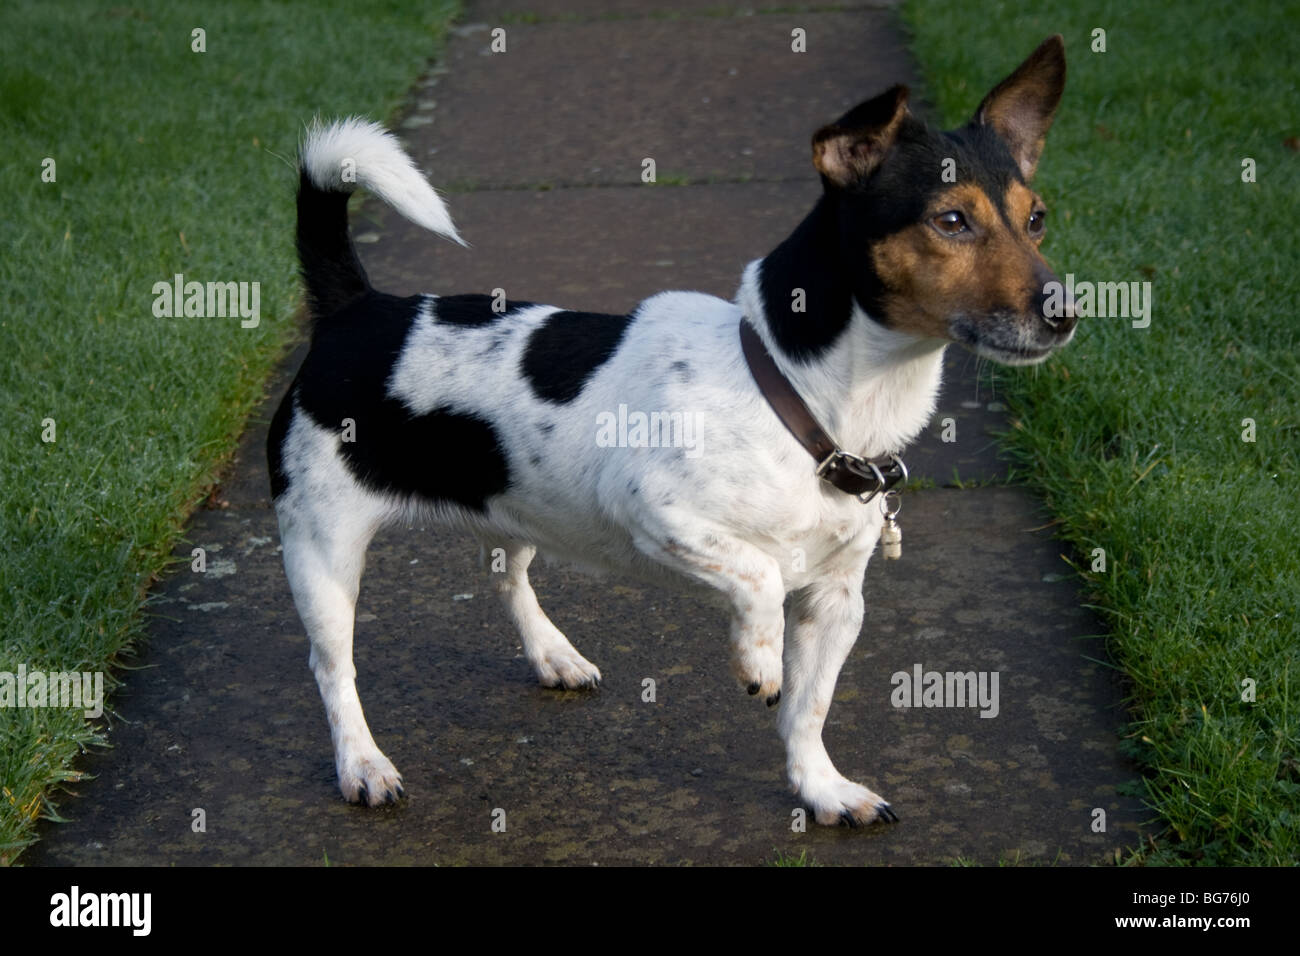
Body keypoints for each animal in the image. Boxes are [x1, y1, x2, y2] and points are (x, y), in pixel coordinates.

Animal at [266, 35, 1076, 832]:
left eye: (1036, 219)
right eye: (951, 221)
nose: (1066, 310)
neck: (801, 394)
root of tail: (355, 307)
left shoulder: (838, 602)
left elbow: (809, 709)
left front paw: (821, 788)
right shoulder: (659, 513)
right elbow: (761, 577)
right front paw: (759, 660)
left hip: (513, 503)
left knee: (508, 576)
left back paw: (552, 654)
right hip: (323, 550)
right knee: (331, 666)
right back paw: (363, 765)